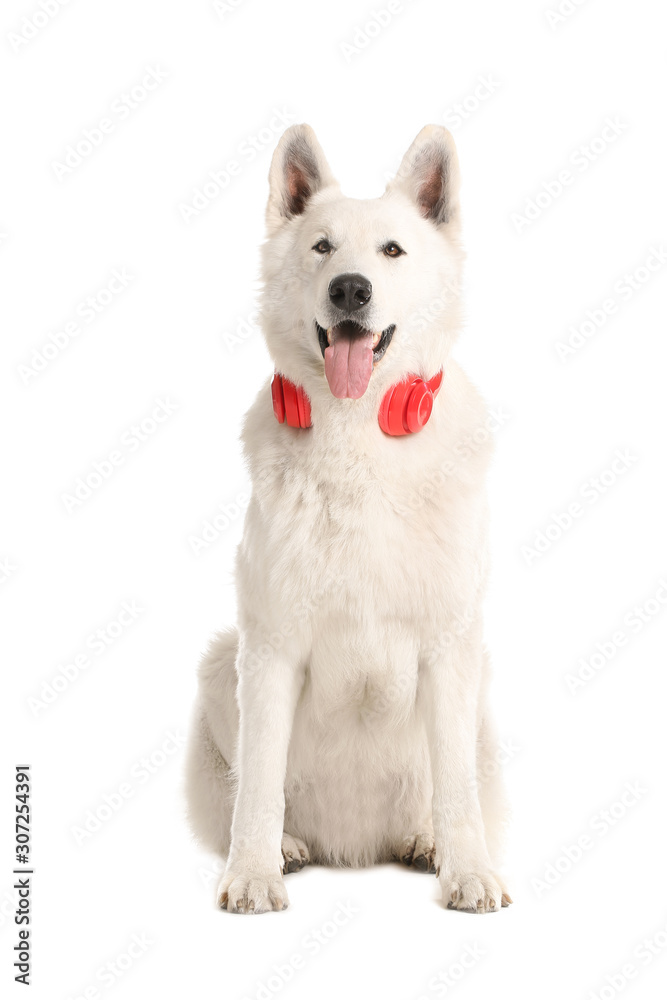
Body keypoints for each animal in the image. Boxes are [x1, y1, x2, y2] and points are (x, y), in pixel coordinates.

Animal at [187, 123, 512, 916]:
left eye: (391, 250)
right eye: (321, 247)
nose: (349, 289)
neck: (360, 430)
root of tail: (359, 848)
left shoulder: (450, 645)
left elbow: (455, 785)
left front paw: (466, 870)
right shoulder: (270, 646)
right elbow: (259, 782)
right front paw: (253, 871)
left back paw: (425, 840)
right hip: (221, 659)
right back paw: (292, 845)